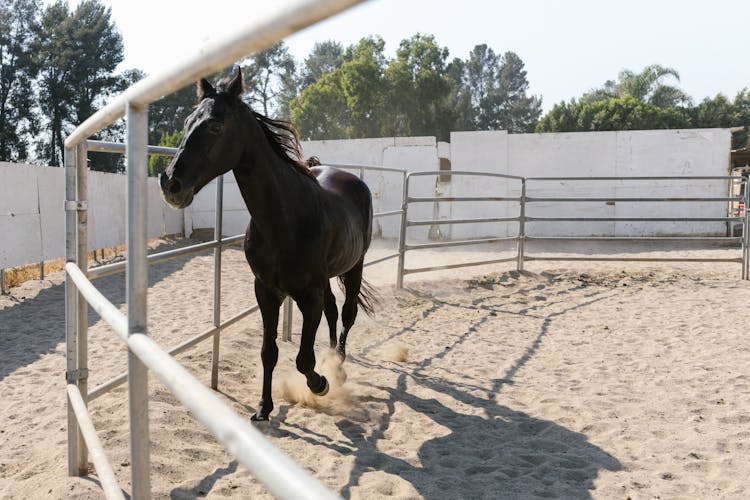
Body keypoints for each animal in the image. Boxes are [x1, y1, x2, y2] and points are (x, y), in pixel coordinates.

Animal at [159, 67, 376, 422]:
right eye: (188, 121)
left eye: (215, 126)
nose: (171, 184)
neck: (285, 220)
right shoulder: (266, 291)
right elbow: (268, 351)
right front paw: (264, 407)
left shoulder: (308, 296)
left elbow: (303, 358)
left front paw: (320, 384)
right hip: (327, 277)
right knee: (333, 310)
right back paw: (332, 357)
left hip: (354, 266)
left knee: (347, 312)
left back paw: (339, 367)